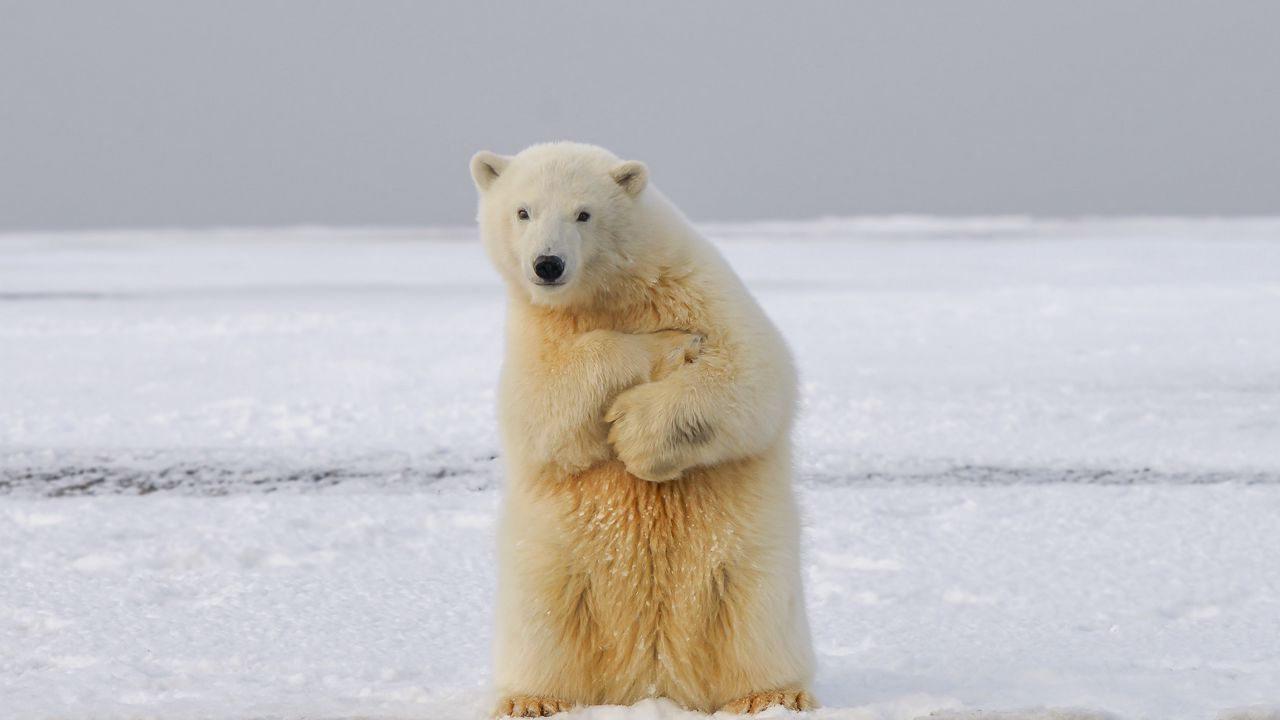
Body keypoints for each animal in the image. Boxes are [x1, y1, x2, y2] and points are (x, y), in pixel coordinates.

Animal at [473, 140, 819, 712]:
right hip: (553, 564)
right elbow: (540, 407)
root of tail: (652, 679)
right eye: (522, 211)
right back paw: (532, 701)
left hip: (746, 564)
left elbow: (753, 373)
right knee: (543, 620)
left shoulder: (699, 288)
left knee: (755, 617)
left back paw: (771, 696)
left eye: (584, 213)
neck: (613, 292)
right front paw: (660, 346)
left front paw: (636, 433)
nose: (548, 264)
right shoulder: (535, 331)